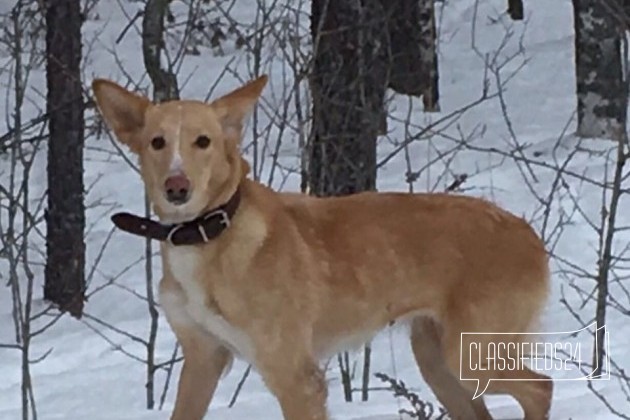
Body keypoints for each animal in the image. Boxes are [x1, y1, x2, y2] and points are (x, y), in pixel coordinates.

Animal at [92, 75, 552, 420]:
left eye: (202, 141)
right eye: (157, 142)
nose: (177, 187)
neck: (209, 234)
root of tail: (525, 230)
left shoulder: (296, 376)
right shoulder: (202, 358)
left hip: (470, 354)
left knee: (541, 388)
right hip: (438, 361)